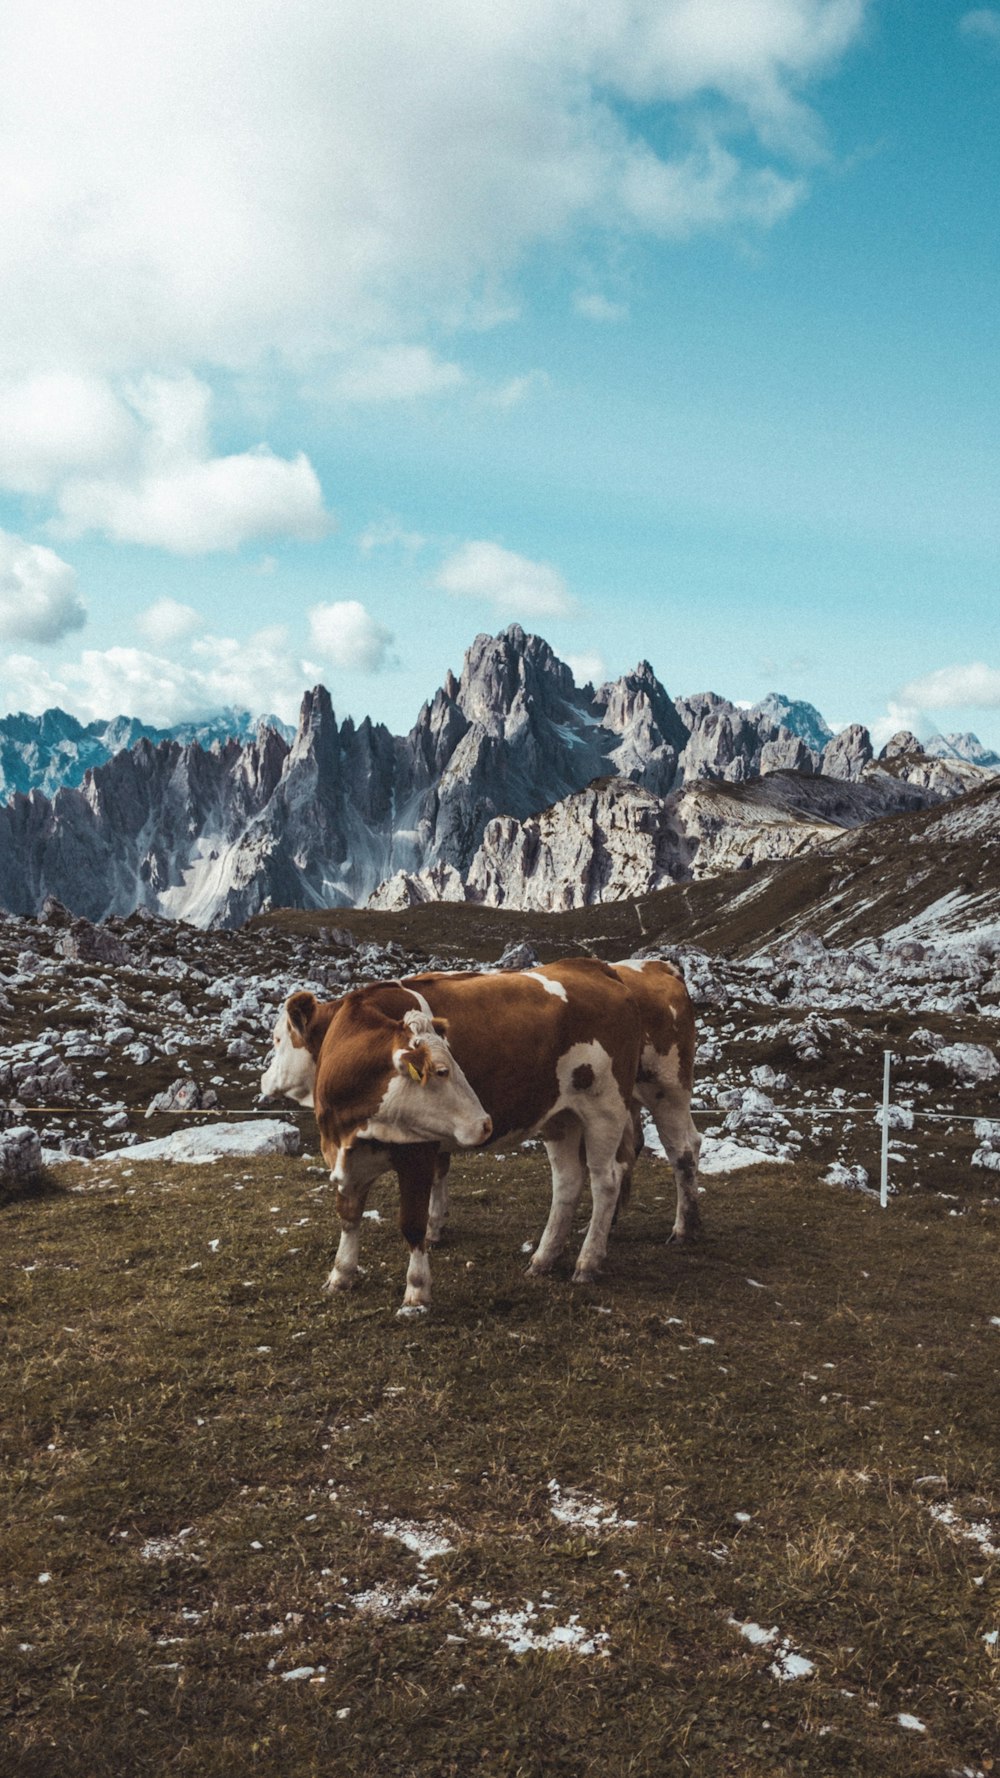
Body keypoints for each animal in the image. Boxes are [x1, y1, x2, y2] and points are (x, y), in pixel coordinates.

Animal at [263, 960, 637, 1308]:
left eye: (278, 1040)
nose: (265, 1079)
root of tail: (593, 967)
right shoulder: (346, 1152)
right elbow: (349, 1214)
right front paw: (340, 1275)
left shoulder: (418, 1151)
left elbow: (412, 1223)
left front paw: (416, 1291)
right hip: (561, 1117)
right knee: (567, 1182)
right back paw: (543, 1258)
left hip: (604, 1108)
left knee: (605, 1181)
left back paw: (587, 1262)